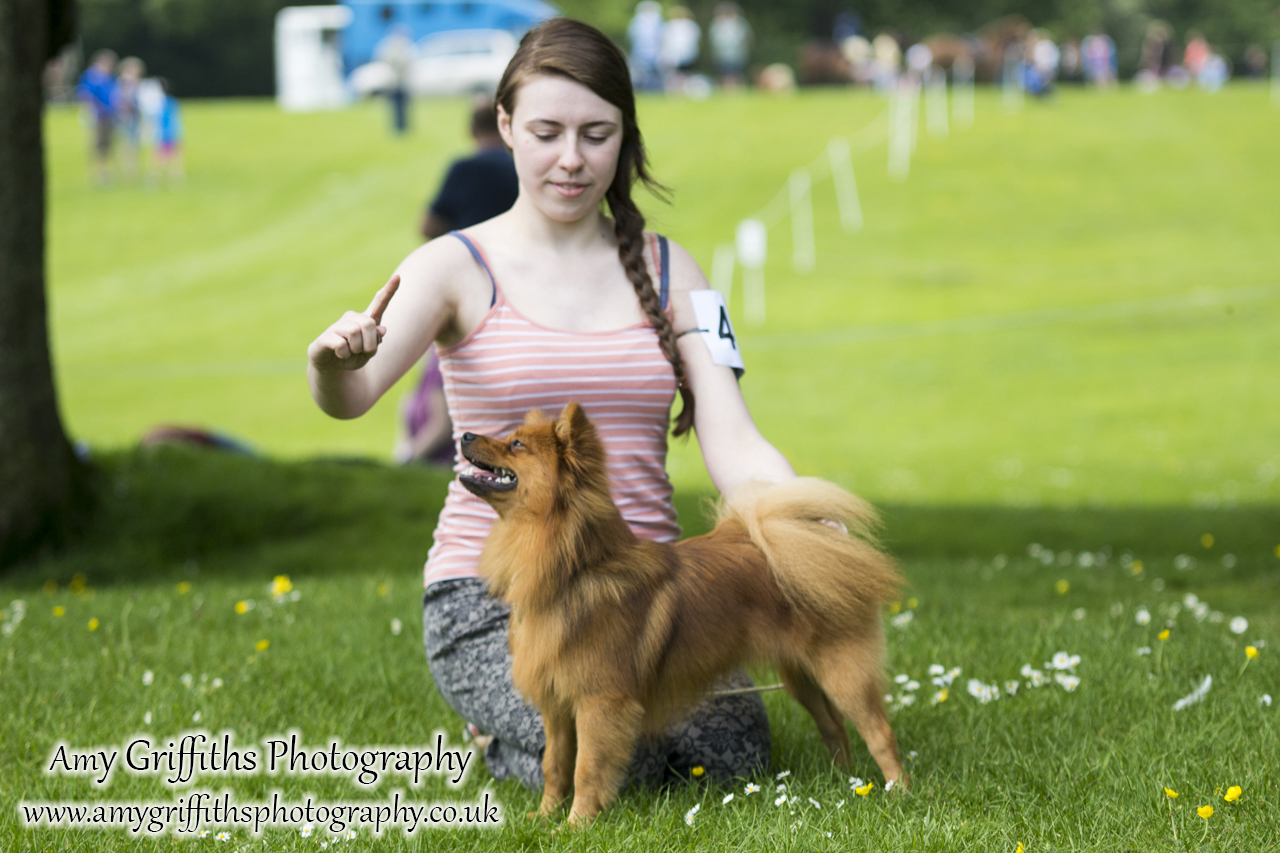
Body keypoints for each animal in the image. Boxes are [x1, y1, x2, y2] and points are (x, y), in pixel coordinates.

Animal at [460, 404, 911, 824]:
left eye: (517, 444)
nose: (465, 434)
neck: (576, 572)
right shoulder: (556, 706)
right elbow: (554, 766)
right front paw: (543, 817)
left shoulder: (599, 705)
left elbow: (586, 771)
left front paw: (575, 827)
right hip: (801, 676)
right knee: (833, 724)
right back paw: (845, 781)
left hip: (842, 672)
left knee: (879, 733)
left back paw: (898, 794)